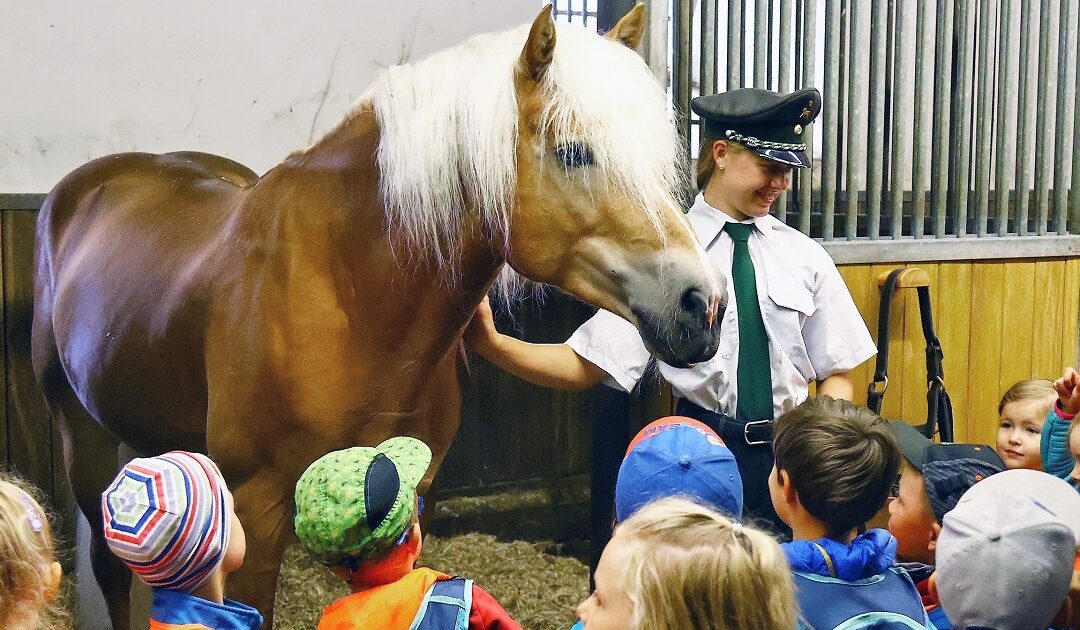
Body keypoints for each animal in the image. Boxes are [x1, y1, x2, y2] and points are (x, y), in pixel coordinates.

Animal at [31, 4, 725, 626]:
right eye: (575, 152)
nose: (705, 304)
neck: (349, 296)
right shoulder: (256, 508)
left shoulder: (412, 495)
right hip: (81, 435)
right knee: (111, 569)